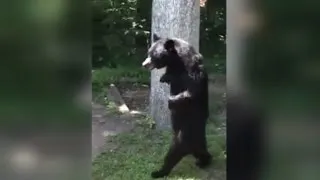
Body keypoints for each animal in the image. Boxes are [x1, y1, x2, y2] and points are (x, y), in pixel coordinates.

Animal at [142, 34, 212, 179]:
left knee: (172, 155)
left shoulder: (194, 73)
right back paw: (202, 160)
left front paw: (171, 101)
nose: (144, 64)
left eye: (153, 55)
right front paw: (164, 78)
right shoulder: (173, 70)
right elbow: (169, 78)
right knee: (200, 151)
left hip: (184, 136)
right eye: (149, 52)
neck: (178, 62)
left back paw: (158, 172)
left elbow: (190, 92)